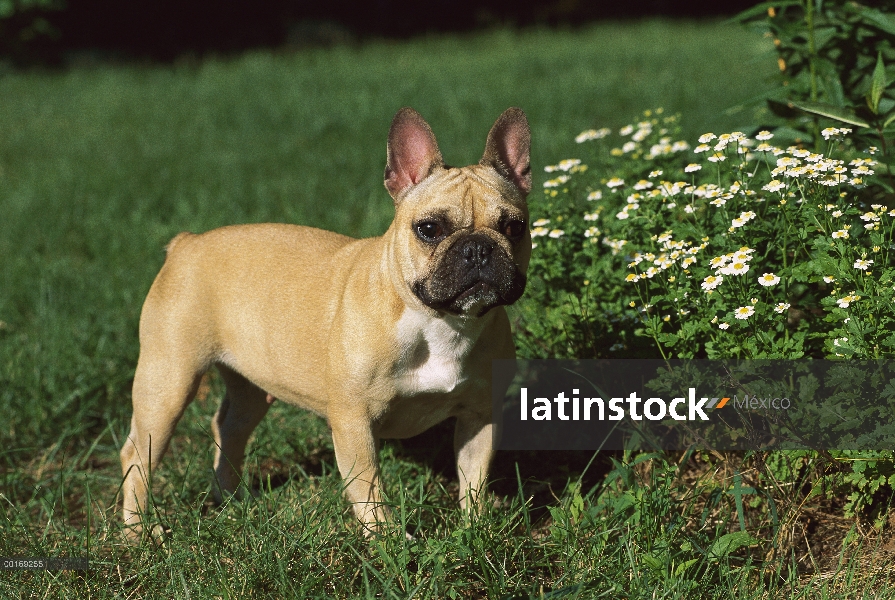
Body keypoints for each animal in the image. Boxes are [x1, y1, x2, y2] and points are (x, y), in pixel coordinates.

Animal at [121, 105, 532, 536]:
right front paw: (390, 540)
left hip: (252, 388)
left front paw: (477, 528)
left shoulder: (478, 417)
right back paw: (138, 532)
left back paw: (231, 501)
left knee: (229, 428)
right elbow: (369, 488)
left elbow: (473, 479)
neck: (442, 323)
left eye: (514, 226)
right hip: (167, 383)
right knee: (137, 456)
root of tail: (186, 243)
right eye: (430, 229)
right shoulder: (355, 423)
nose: (478, 249)